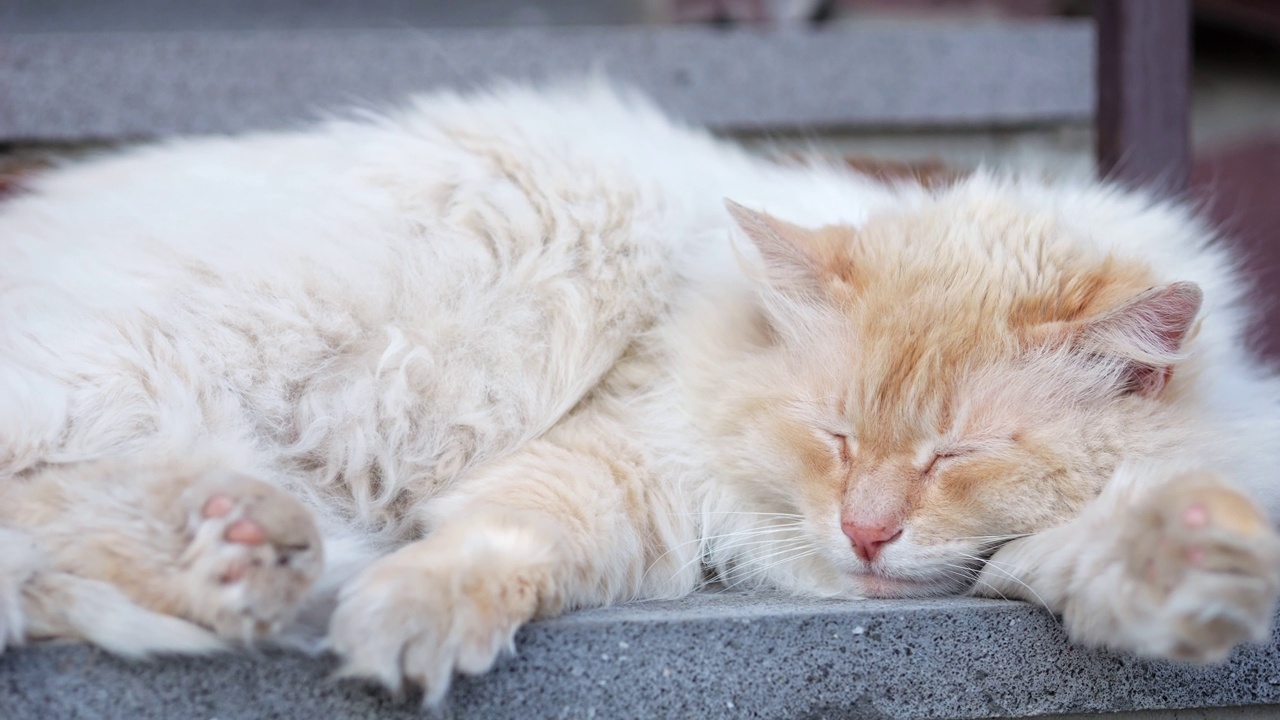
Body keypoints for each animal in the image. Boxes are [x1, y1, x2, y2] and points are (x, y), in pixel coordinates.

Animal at [2, 79, 1280, 702]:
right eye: (832, 434)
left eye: (952, 457)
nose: (864, 534)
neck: (696, 314)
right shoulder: (619, 460)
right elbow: (498, 541)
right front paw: (412, 622)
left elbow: (1104, 549)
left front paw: (1191, 578)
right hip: (162, 372)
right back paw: (247, 556)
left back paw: (244, 555)